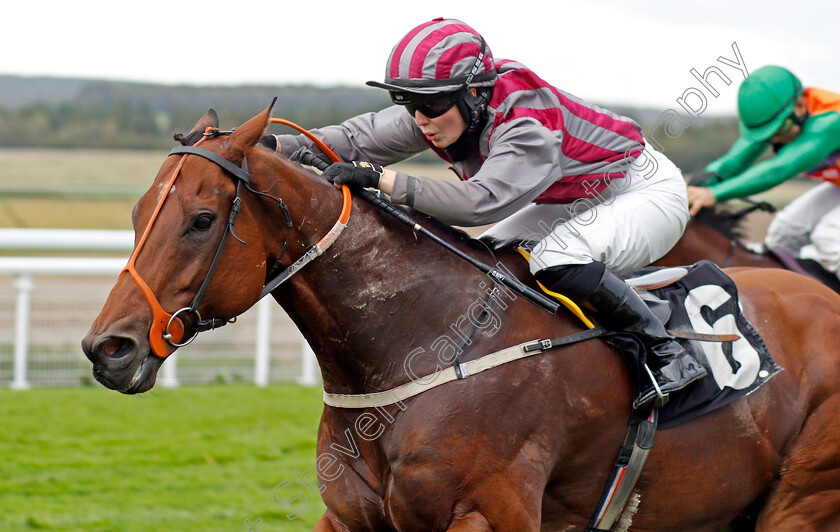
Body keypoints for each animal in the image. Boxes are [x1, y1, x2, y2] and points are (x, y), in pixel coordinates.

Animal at [82, 105, 840, 532]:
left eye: (201, 220)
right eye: (136, 214)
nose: (107, 348)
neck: (416, 346)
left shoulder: (486, 513)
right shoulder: (350, 518)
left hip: (801, 502)